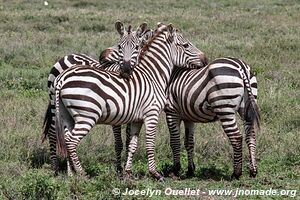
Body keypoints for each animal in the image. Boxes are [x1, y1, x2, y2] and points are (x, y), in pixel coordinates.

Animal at [42, 20, 150, 173]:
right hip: (53, 99)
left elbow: (129, 140)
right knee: (52, 131)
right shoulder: (116, 116)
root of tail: (67, 55)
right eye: (120, 46)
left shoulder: (132, 114)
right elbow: (118, 142)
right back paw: (55, 166)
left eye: (137, 47)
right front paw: (118, 169)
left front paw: (126, 167)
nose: (126, 69)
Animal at [52, 23, 207, 181]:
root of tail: (62, 78)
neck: (152, 75)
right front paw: (155, 173)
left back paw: (72, 174)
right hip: (87, 115)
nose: (206, 60)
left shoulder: (136, 119)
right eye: (186, 45)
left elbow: (132, 144)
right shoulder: (151, 114)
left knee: (66, 139)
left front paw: (128, 172)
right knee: (72, 141)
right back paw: (82, 174)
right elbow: (150, 143)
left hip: (67, 115)